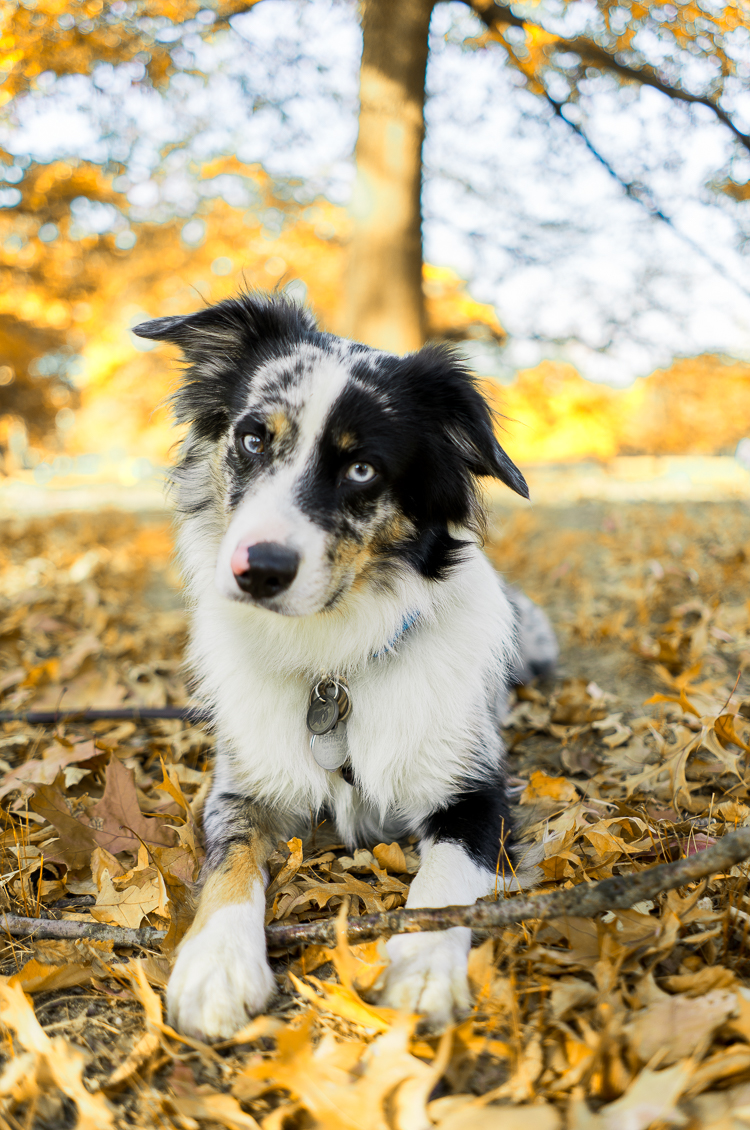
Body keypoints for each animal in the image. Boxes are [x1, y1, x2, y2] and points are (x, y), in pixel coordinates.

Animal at [134, 293, 555, 1039]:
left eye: (362, 469)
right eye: (253, 439)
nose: (259, 570)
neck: (333, 658)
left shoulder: (477, 793)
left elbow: (444, 880)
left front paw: (424, 967)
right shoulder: (239, 790)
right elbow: (228, 867)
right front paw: (216, 965)